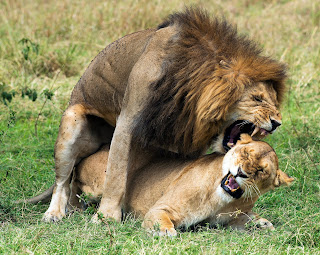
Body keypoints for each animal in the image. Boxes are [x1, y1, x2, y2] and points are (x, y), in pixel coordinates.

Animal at [31, 134, 294, 236]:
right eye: (245, 153)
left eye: (261, 171)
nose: (241, 173)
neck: (224, 200)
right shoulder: (160, 208)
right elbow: (164, 221)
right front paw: (166, 232)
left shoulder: (231, 221)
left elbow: (248, 220)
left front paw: (263, 222)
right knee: (72, 181)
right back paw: (66, 210)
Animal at [42, 7, 284, 222]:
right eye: (257, 99)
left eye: (274, 101)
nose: (277, 122)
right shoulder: (128, 120)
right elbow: (116, 174)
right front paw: (107, 216)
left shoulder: (185, 136)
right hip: (72, 121)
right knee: (63, 181)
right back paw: (56, 213)